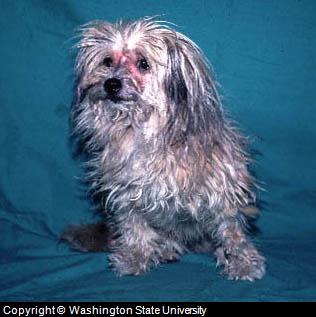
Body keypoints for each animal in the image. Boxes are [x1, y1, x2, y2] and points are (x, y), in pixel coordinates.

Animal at [61, 17, 264, 278]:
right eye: (107, 61)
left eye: (143, 63)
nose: (111, 84)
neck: (144, 134)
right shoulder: (127, 195)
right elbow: (135, 228)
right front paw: (135, 258)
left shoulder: (222, 190)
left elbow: (232, 231)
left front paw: (242, 262)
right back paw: (165, 249)